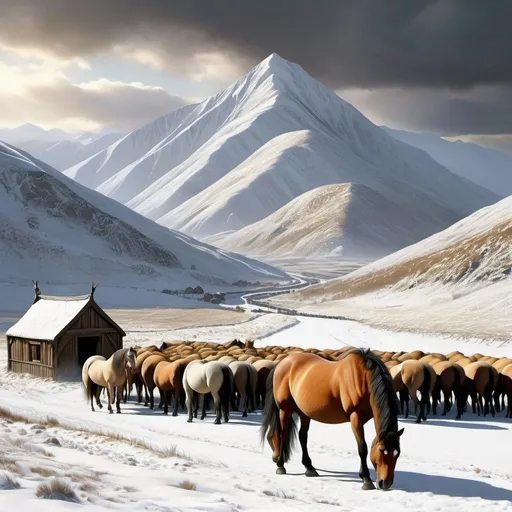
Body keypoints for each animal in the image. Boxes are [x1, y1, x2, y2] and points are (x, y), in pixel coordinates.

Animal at [260, 348, 404, 492]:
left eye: (397, 454)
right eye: (381, 450)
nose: (385, 483)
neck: (364, 378)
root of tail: (281, 364)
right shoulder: (355, 416)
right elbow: (362, 448)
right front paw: (366, 479)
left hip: (304, 412)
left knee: (302, 436)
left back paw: (309, 468)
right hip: (285, 409)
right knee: (283, 434)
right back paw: (281, 465)